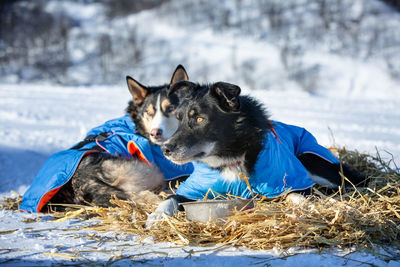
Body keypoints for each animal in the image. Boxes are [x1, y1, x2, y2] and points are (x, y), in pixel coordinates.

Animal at [146, 81, 366, 224]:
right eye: (179, 119)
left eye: (199, 119)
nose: (165, 149)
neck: (232, 158)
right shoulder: (194, 189)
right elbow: (171, 198)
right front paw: (157, 215)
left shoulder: (293, 181)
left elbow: (296, 194)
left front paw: (306, 205)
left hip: (312, 161)